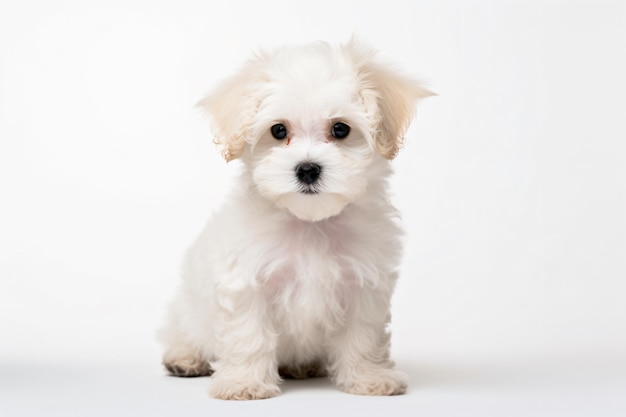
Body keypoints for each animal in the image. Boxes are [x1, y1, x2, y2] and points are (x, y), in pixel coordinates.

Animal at [160, 39, 428, 400]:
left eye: (340, 129)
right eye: (278, 130)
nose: (308, 168)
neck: (310, 222)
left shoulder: (364, 284)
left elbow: (363, 335)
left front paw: (369, 378)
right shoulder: (246, 281)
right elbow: (249, 335)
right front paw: (244, 383)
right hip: (187, 312)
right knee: (181, 331)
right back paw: (184, 359)